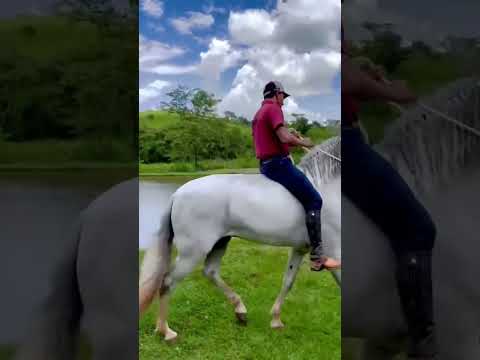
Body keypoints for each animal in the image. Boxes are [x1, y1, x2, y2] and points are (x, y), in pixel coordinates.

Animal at [139, 136, 342, 342]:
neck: (326, 187)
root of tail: (177, 194)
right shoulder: (333, 252)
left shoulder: (299, 249)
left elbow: (288, 281)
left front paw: (276, 320)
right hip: (193, 252)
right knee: (168, 282)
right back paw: (166, 331)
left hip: (220, 243)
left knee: (210, 272)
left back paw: (240, 311)